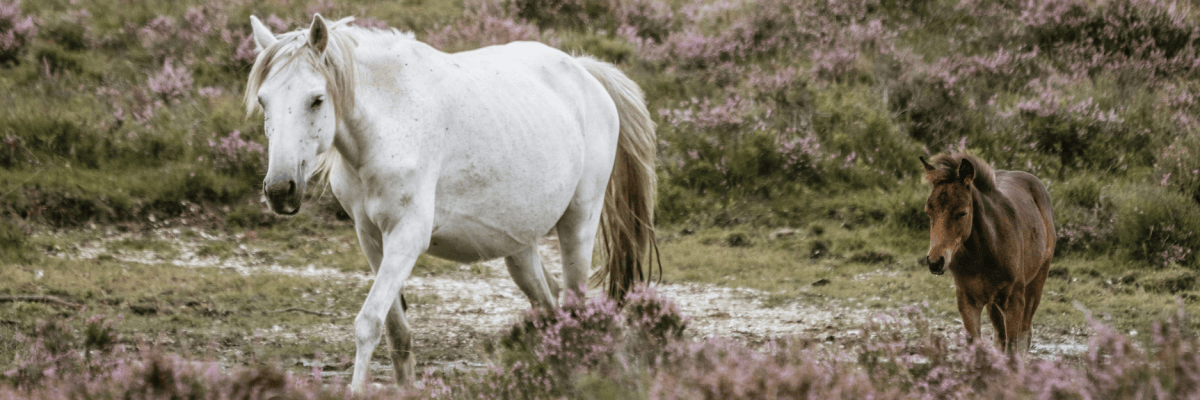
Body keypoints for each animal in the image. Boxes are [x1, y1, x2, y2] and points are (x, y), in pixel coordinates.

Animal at [244, 14, 659, 391]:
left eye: (316, 100)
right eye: (264, 101)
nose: (280, 190)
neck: (389, 122)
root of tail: (585, 72)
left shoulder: (407, 237)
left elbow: (368, 323)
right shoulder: (371, 238)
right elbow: (396, 332)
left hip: (578, 224)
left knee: (574, 310)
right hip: (520, 248)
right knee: (549, 309)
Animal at [918, 153, 1054, 354]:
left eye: (962, 213)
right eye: (929, 212)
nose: (935, 262)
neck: (984, 254)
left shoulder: (1014, 301)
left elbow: (1013, 348)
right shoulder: (967, 301)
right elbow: (977, 346)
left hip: (1036, 282)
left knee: (1024, 335)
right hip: (993, 302)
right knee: (1000, 337)